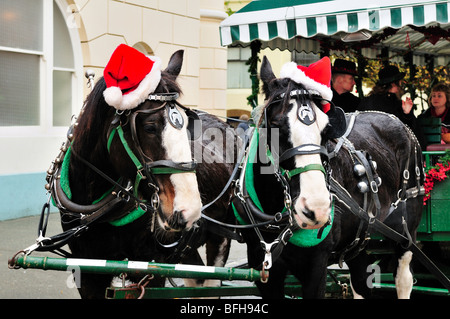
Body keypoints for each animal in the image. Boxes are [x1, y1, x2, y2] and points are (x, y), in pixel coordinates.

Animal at [50, 49, 236, 298]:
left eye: (187, 125)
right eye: (149, 127)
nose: (189, 209)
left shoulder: (151, 270)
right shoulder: (87, 271)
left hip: (221, 235)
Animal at [236, 57, 426, 300]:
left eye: (326, 129)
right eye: (277, 125)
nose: (317, 208)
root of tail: (401, 123)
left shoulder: (316, 267)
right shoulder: (264, 268)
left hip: (406, 231)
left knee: (403, 279)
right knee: (361, 281)